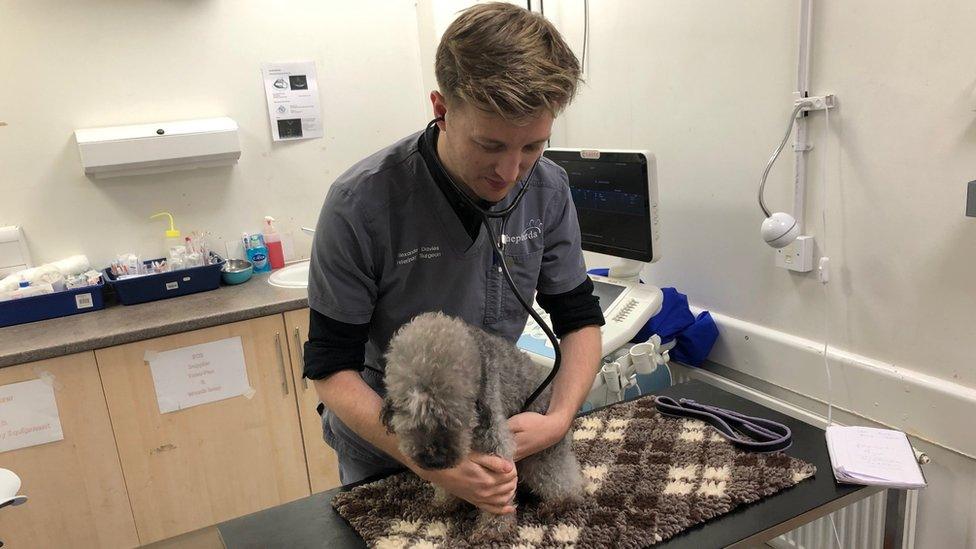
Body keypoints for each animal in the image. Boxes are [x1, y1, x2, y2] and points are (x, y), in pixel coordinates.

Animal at [380, 310, 580, 536]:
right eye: (412, 413)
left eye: (456, 412)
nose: (435, 459)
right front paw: (443, 503)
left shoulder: (495, 442)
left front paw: (493, 530)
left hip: (544, 452)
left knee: (565, 479)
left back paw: (560, 502)